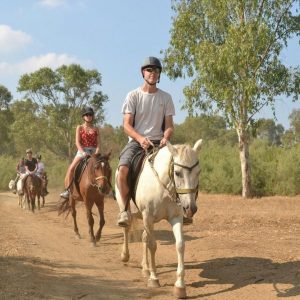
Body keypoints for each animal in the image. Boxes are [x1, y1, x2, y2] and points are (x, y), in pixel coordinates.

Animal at [116, 139, 203, 298]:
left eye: (198, 172)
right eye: (177, 173)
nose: (190, 208)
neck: (164, 185)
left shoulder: (175, 217)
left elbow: (180, 245)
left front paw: (180, 286)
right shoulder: (148, 217)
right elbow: (153, 245)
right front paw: (154, 279)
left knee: (144, 237)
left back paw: (145, 268)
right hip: (129, 209)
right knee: (126, 228)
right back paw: (125, 256)